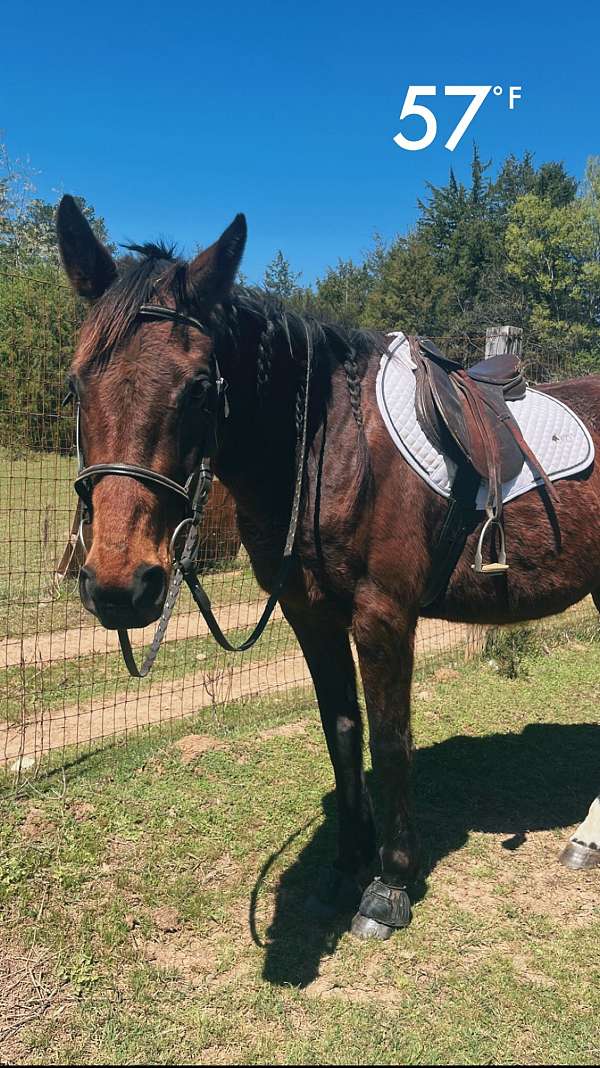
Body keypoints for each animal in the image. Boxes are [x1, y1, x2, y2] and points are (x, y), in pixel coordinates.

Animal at [56, 195, 600, 941]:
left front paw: (390, 885)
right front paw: (346, 868)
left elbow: (392, 740)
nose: (118, 586)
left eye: (198, 389)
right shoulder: (310, 613)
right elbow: (343, 733)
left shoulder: (384, 613)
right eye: (76, 383)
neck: (328, 445)